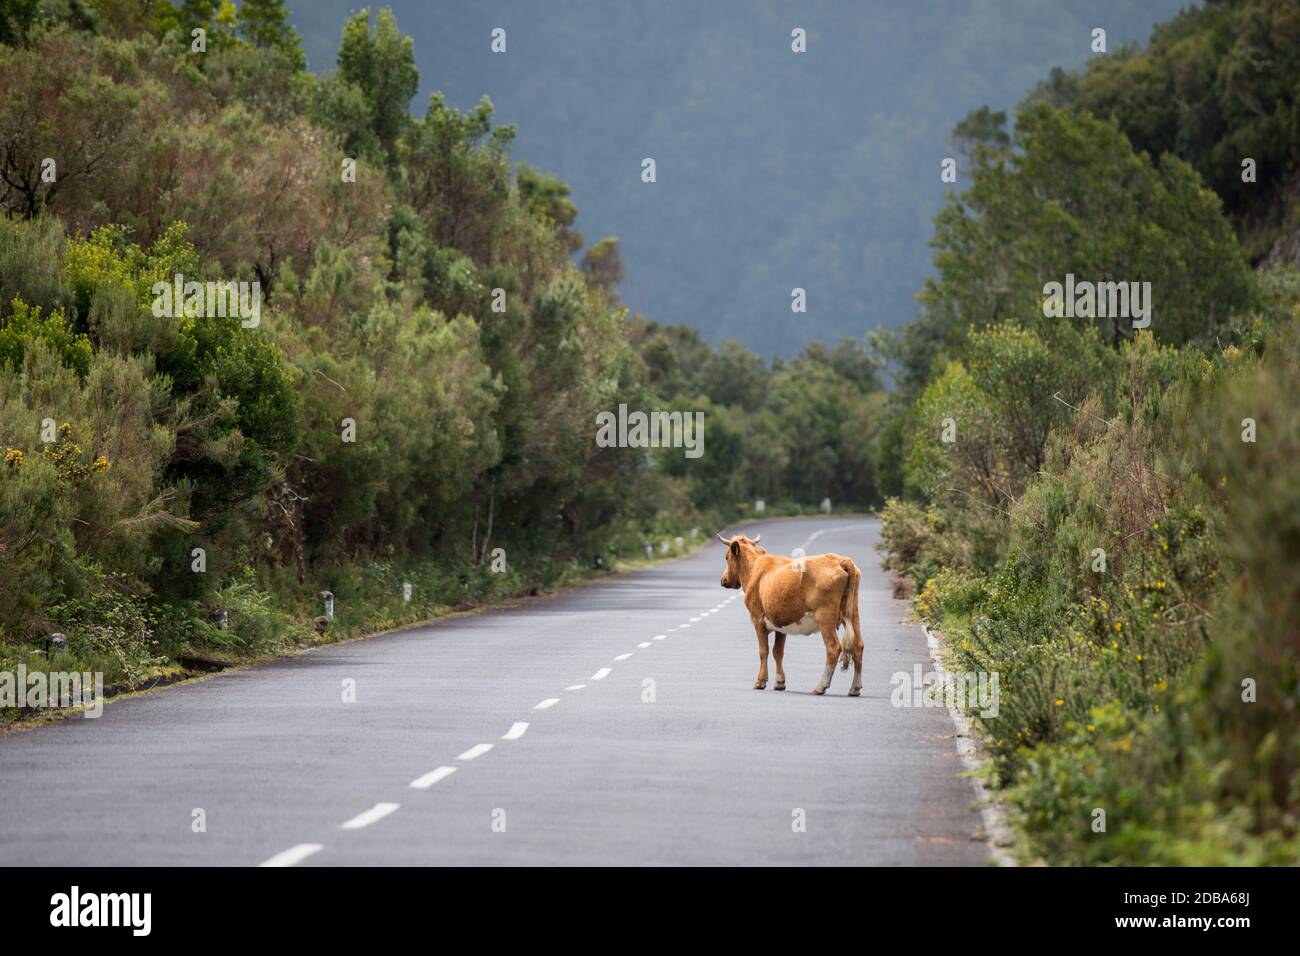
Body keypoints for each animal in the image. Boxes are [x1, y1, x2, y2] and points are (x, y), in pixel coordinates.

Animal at [722, 530, 863, 697]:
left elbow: (764, 651)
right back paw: (855, 688)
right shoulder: (780, 623)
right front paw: (779, 682)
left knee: (833, 648)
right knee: (858, 645)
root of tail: (841, 560)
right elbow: (778, 652)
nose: (723, 580)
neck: (755, 568)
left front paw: (760, 681)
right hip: (853, 614)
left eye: (726, 557)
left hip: (825, 618)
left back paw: (821, 686)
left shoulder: (757, 620)